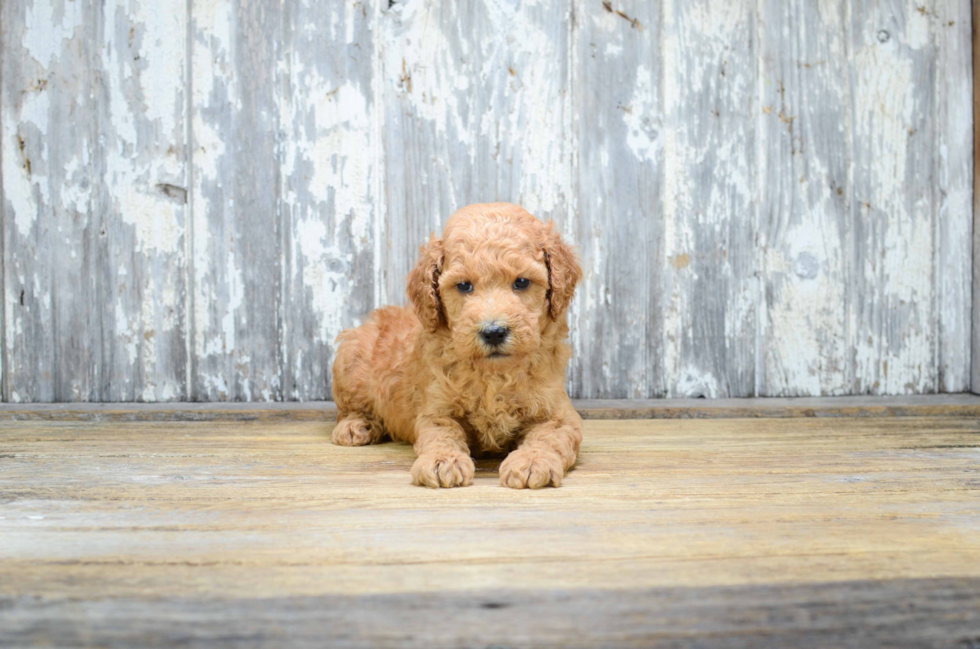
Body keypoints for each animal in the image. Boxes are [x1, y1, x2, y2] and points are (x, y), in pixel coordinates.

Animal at [330, 202, 580, 486]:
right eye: (463, 286)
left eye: (522, 282)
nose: (494, 332)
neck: (494, 375)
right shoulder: (436, 409)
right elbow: (442, 433)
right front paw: (442, 461)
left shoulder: (559, 414)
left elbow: (550, 436)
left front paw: (532, 461)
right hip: (351, 361)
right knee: (349, 408)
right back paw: (355, 426)